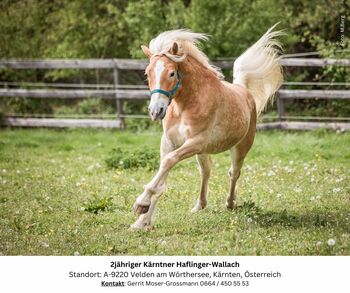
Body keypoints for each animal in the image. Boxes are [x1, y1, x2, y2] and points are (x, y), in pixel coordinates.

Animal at [131, 25, 282, 229]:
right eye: (147, 74)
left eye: (171, 73)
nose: (156, 111)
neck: (185, 105)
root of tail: (244, 92)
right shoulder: (170, 142)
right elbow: (163, 174)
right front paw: (143, 220)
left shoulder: (196, 142)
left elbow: (168, 161)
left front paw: (141, 203)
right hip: (202, 152)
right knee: (206, 171)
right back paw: (199, 205)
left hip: (239, 148)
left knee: (234, 173)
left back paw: (230, 203)